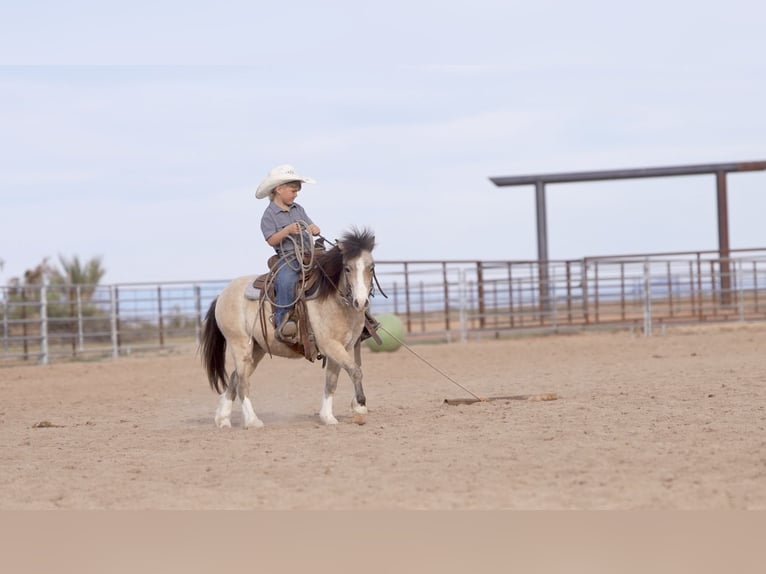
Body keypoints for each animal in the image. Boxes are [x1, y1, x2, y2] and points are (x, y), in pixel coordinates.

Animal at [200, 228, 377, 428]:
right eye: (347, 268)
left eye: (371, 267)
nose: (361, 302)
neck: (334, 300)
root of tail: (221, 295)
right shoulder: (330, 345)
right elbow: (355, 371)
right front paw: (360, 409)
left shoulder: (344, 347)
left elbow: (332, 381)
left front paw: (328, 417)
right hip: (240, 344)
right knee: (242, 382)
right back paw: (253, 421)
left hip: (257, 348)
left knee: (235, 377)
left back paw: (223, 419)